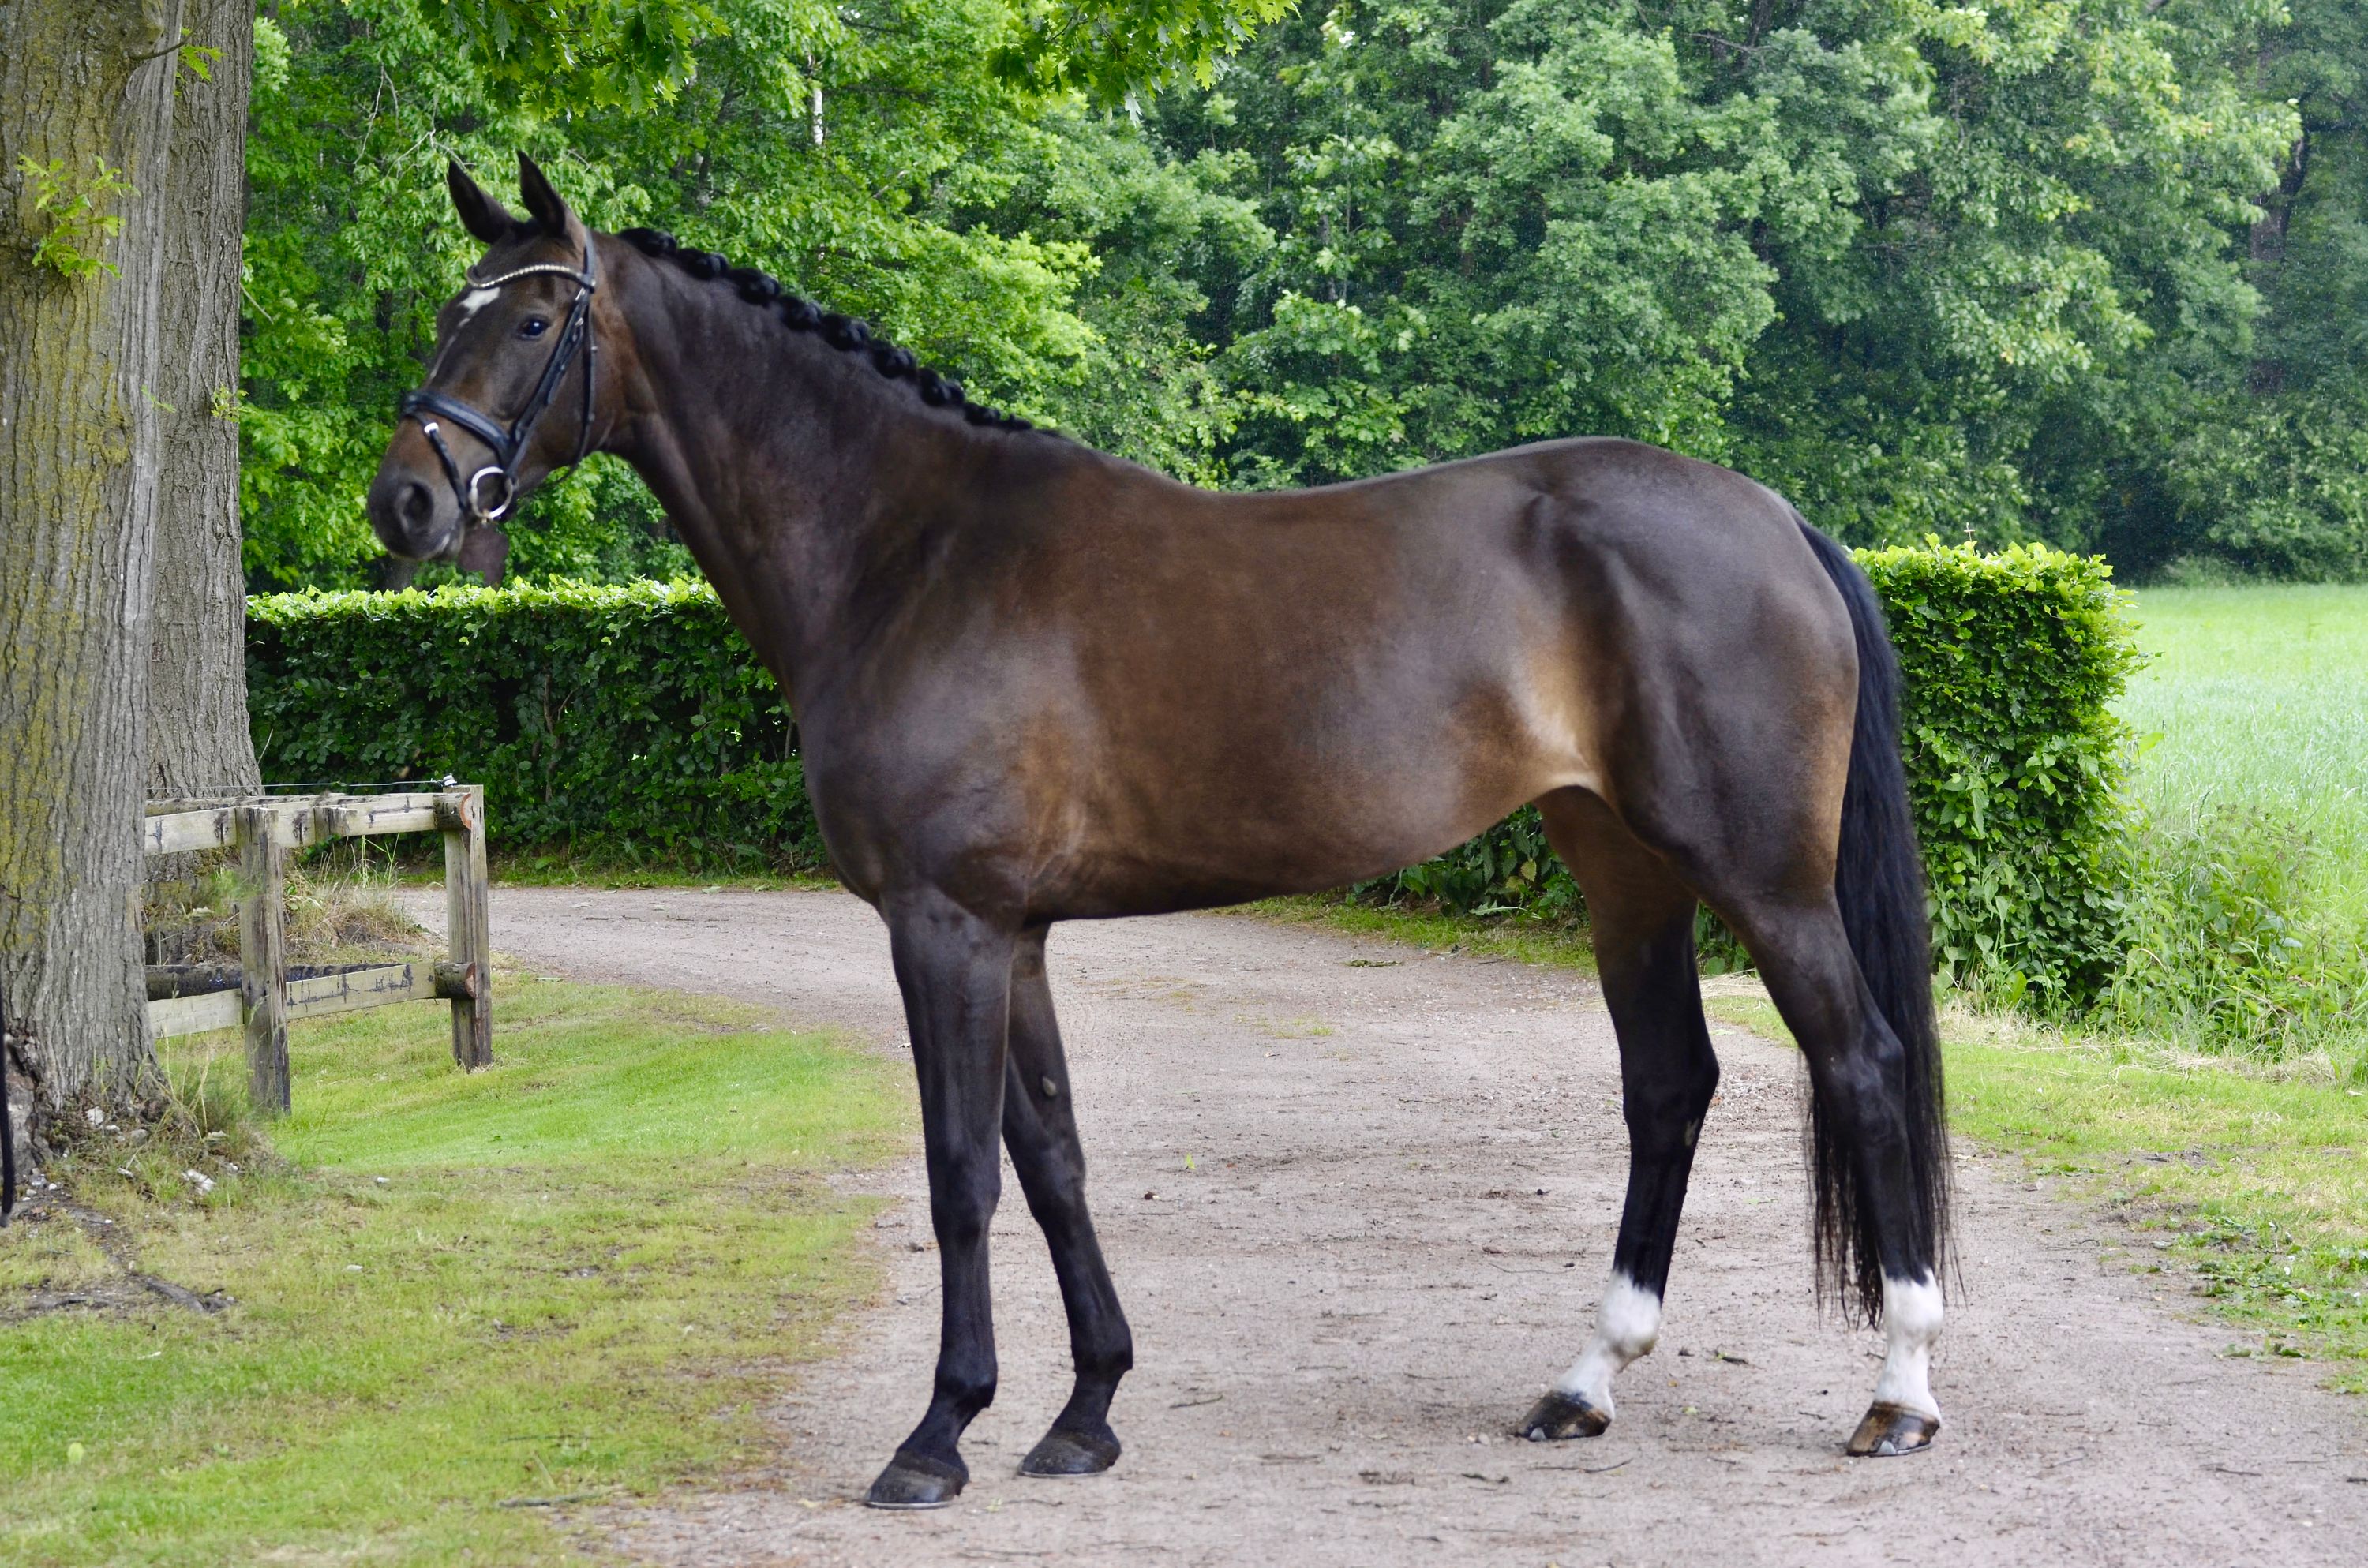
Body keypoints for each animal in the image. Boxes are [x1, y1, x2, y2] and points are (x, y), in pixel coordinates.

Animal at [368, 155, 1953, 1509]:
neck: (908, 551)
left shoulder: (943, 925)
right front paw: (1085, 1413)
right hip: (1620, 865)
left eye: (528, 317)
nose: (408, 500)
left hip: (1761, 876)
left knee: (1863, 1063)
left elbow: (960, 1172)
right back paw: (1586, 1381)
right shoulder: (1011, 934)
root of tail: (1777, 519)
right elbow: (1053, 1157)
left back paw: (1899, 1394)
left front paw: (938, 1432)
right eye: (451, 310)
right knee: (1669, 1083)